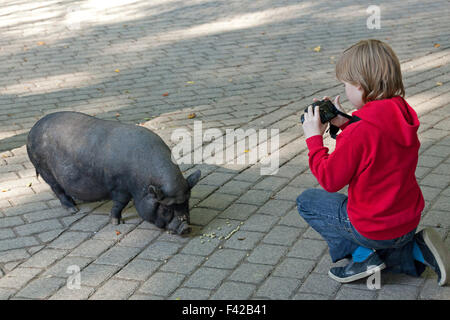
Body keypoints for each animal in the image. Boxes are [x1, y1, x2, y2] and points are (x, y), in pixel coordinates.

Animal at [25, 110, 200, 235]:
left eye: (186, 202)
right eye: (166, 209)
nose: (186, 228)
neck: (141, 182)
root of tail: (33, 129)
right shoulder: (120, 188)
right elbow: (119, 204)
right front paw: (118, 223)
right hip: (45, 169)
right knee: (57, 189)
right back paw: (73, 210)